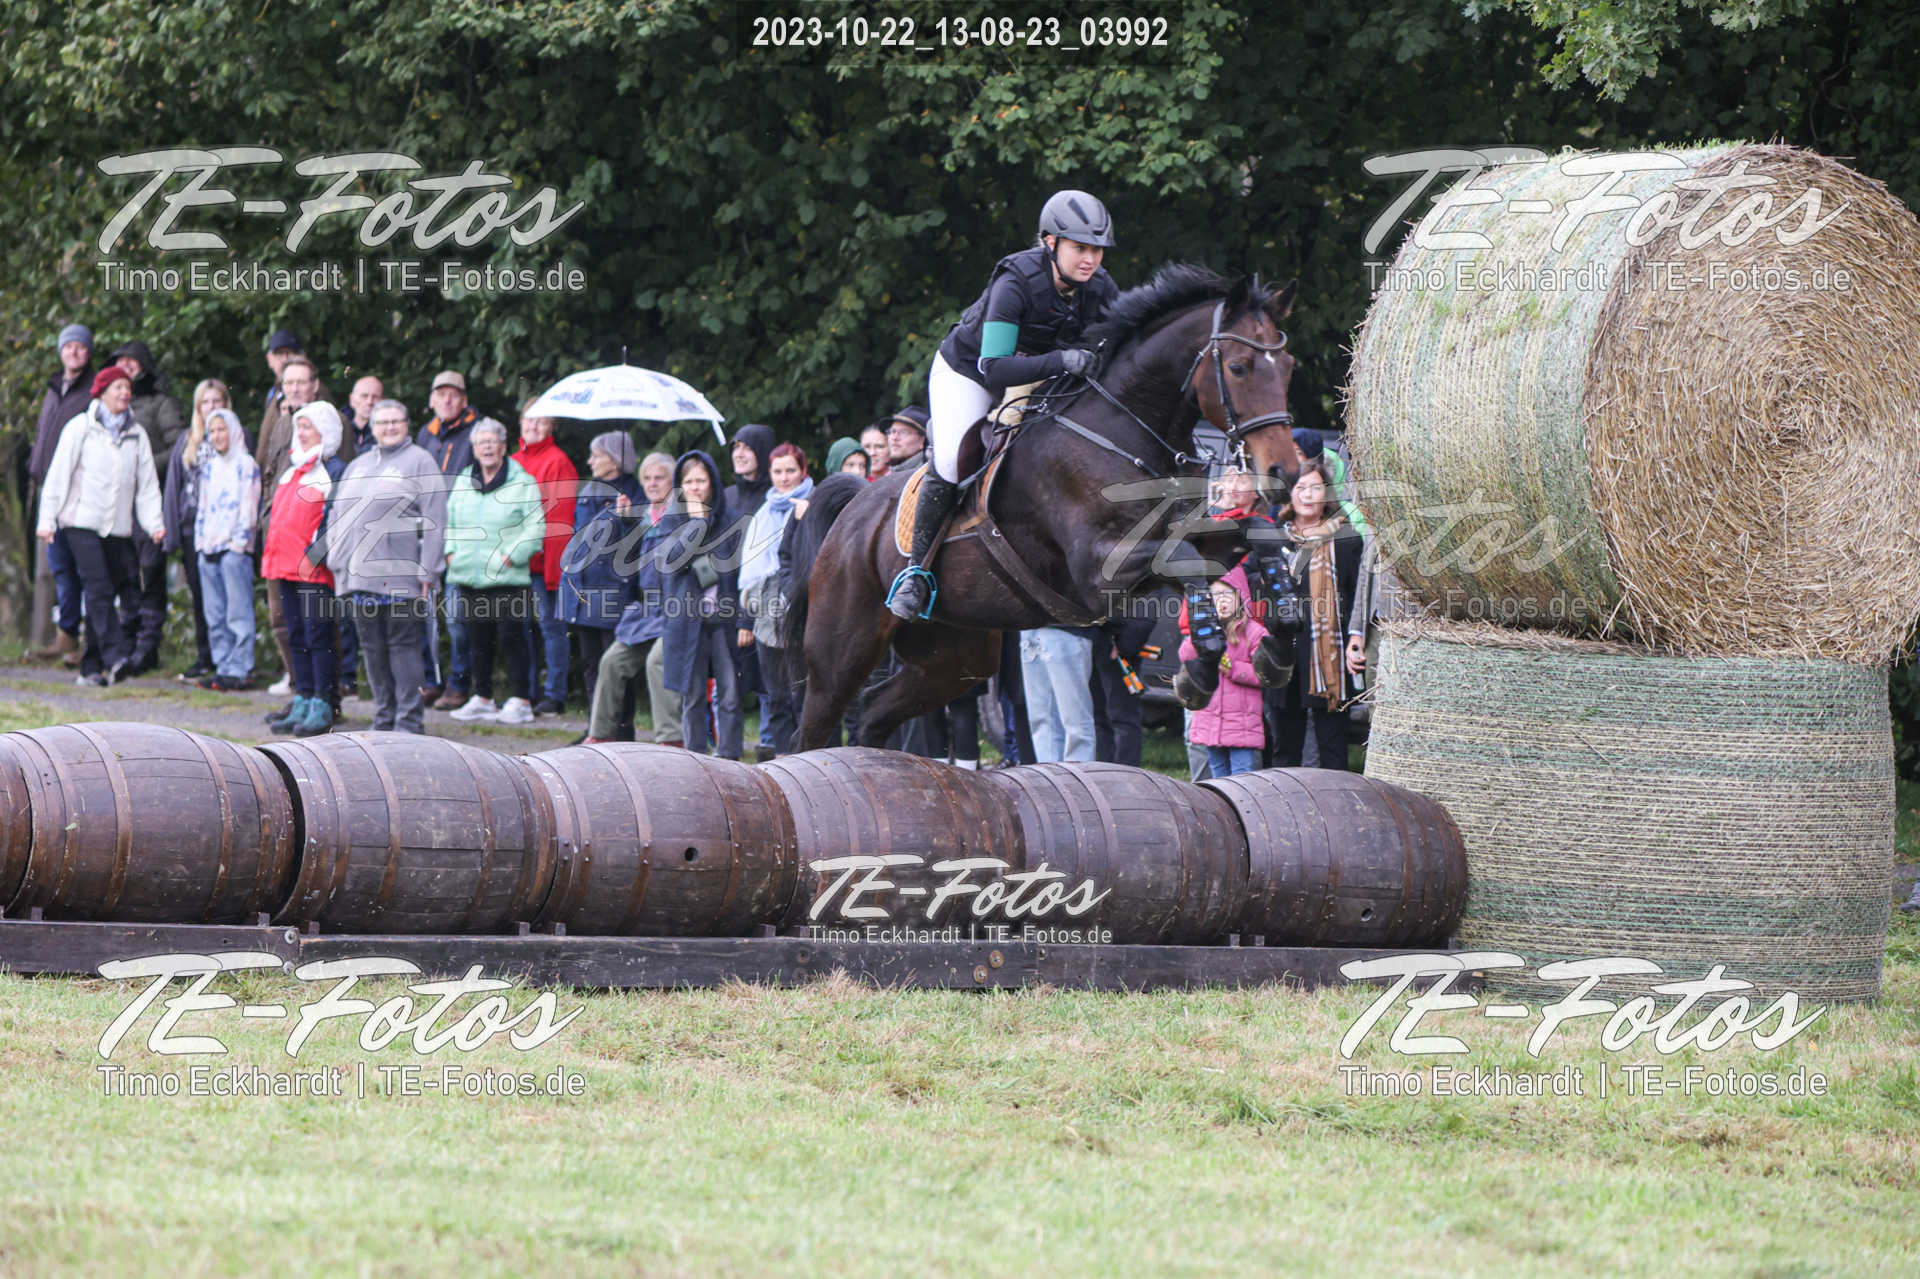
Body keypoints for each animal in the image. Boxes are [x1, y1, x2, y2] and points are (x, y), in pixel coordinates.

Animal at [785, 265, 1306, 753]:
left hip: (957, 654)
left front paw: (1275, 644)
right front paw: (1201, 666)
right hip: (843, 647)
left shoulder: (1165, 548)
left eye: (1288, 367)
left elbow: (1252, 534)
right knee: (815, 726)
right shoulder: (1098, 570)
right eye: (1239, 367)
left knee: (876, 711)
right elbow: (1186, 561)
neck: (1121, 429)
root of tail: (855, 509)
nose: (1284, 471)